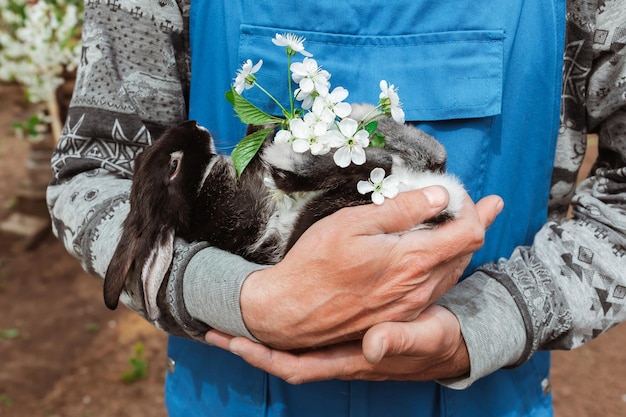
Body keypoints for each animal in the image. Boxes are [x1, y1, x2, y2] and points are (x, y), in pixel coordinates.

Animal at [102, 103, 464, 318]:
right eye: (173, 165)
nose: (193, 123)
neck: (201, 191)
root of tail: (448, 204)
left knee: (432, 154)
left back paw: (370, 117)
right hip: (333, 204)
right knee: (376, 164)